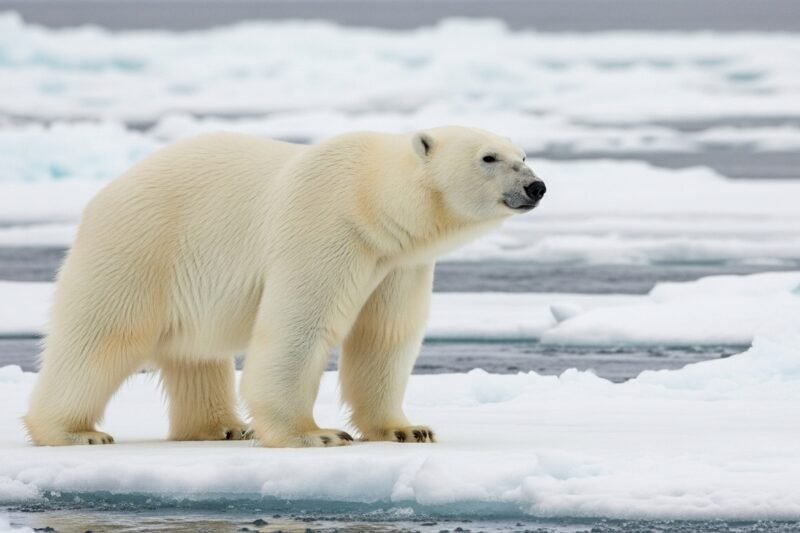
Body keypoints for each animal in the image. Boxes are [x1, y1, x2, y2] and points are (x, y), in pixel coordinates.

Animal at [23, 126, 546, 447]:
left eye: (523, 155)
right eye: (489, 157)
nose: (536, 186)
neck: (369, 197)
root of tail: (101, 197)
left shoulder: (398, 262)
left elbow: (384, 337)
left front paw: (407, 430)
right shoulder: (326, 228)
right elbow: (301, 325)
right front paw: (316, 434)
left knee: (196, 354)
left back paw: (223, 428)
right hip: (141, 248)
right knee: (103, 337)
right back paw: (75, 431)